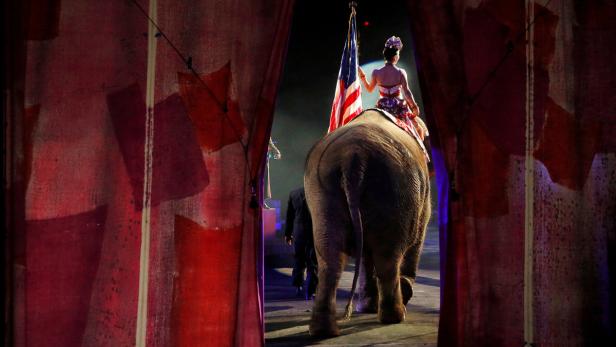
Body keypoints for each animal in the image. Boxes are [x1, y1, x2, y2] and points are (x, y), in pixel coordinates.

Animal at [304, 109, 430, 338]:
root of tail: (353, 158)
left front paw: (368, 307)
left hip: (322, 193)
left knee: (330, 256)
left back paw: (324, 331)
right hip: (393, 189)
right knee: (388, 256)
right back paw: (395, 317)